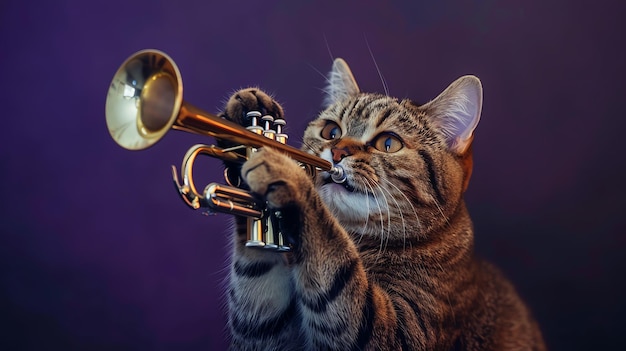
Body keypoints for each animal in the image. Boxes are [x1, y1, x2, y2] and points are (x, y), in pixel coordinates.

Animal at [218, 59, 540, 350]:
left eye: (388, 143)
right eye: (331, 132)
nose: (337, 151)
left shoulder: (399, 331)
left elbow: (336, 265)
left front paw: (285, 171)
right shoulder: (268, 333)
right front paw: (249, 115)